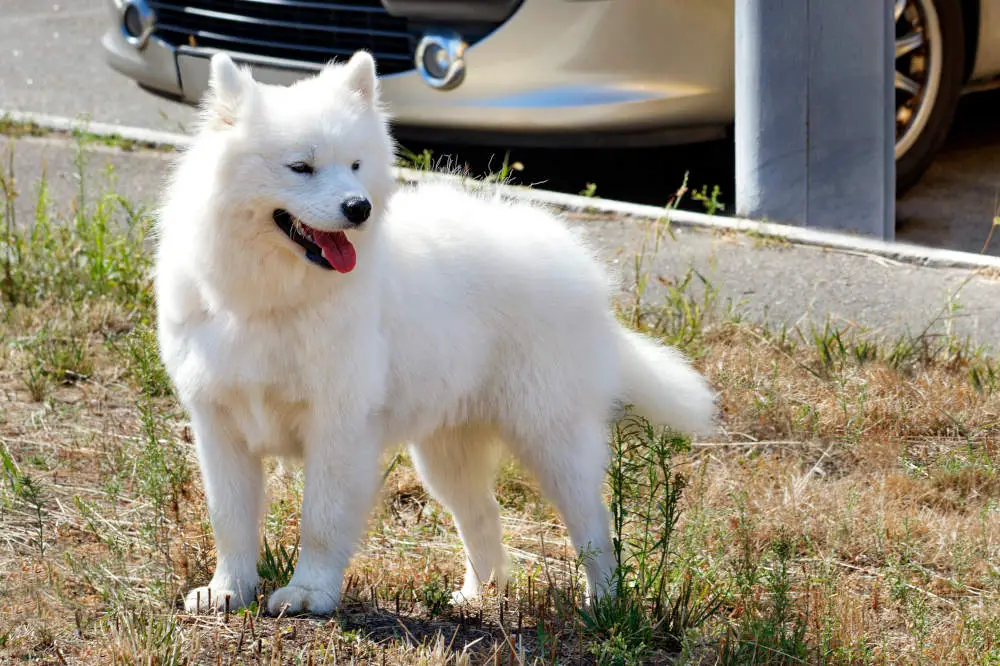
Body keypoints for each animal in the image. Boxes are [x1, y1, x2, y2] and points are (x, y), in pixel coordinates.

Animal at [154, 49, 720, 616]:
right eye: (301, 167)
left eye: (355, 165)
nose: (359, 208)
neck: (268, 301)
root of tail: (580, 266)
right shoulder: (219, 424)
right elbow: (229, 520)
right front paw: (227, 590)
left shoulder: (338, 427)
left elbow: (321, 520)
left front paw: (308, 594)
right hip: (447, 452)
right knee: (484, 518)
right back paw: (477, 596)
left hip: (552, 438)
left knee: (594, 526)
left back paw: (602, 604)